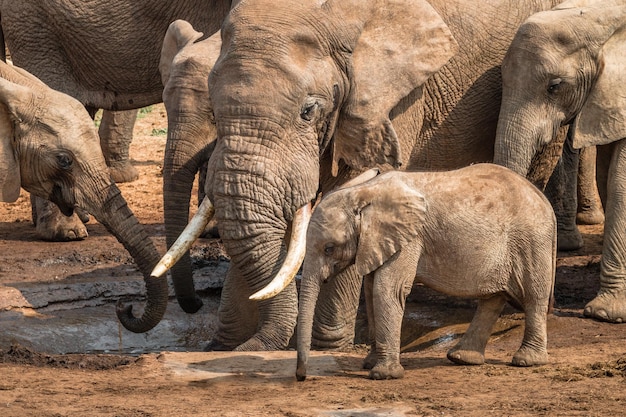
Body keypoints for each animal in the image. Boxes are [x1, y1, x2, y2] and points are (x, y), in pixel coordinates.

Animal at [294, 162, 552, 380]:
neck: (364, 193)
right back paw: (461, 358)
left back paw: (526, 361)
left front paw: (383, 375)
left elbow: (387, 290)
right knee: (492, 299)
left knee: (533, 296)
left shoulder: (408, 238)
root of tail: (542, 197)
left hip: (531, 240)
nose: (302, 376)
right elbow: (370, 290)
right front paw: (369, 364)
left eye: (329, 248)